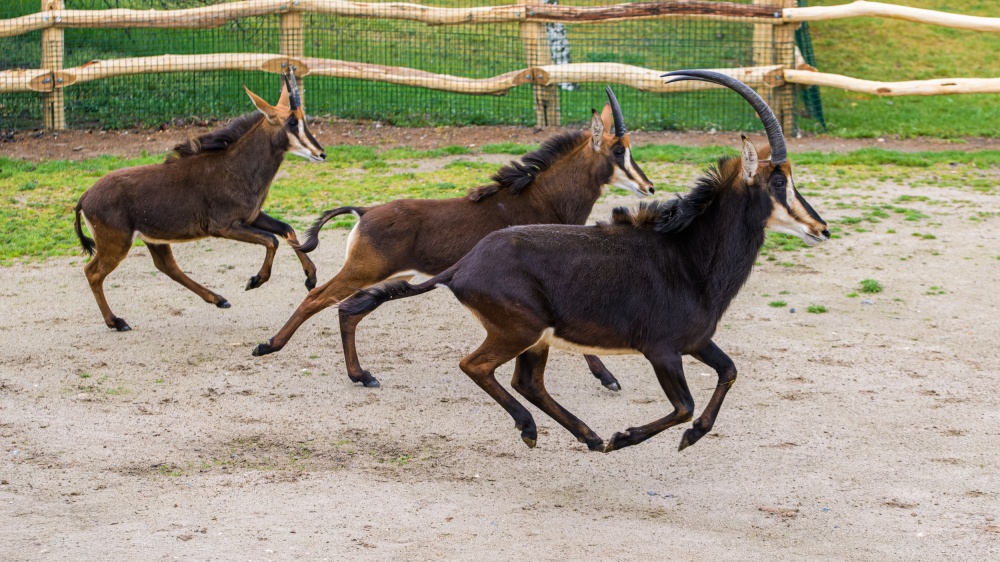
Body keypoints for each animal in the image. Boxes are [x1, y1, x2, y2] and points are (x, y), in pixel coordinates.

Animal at [74, 71, 324, 330]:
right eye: (292, 123)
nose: (321, 153)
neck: (237, 165)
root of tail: (85, 197)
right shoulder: (224, 227)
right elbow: (271, 240)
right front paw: (255, 280)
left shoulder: (251, 217)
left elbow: (286, 229)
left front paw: (311, 277)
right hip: (116, 243)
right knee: (93, 272)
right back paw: (116, 321)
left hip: (154, 238)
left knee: (167, 266)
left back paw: (219, 299)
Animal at [250, 87, 656, 394]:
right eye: (618, 150)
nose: (649, 186)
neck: (542, 198)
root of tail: (365, 211)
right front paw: (606, 376)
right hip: (364, 270)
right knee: (317, 298)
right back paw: (269, 346)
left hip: (395, 276)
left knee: (349, 310)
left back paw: (361, 376)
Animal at [334, 71, 828, 450]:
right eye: (779, 181)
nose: (821, 228)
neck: (689, 257)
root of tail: (463, 266)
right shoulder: (663, 350)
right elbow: (683, 405)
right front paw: (625, 437)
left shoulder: (697, 342)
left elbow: (728, 372)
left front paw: (690, 437)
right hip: (520, 330)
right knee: (476, 366)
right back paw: (539, 430)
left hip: (536, 340)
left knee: (527, 382)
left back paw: (586, 436)